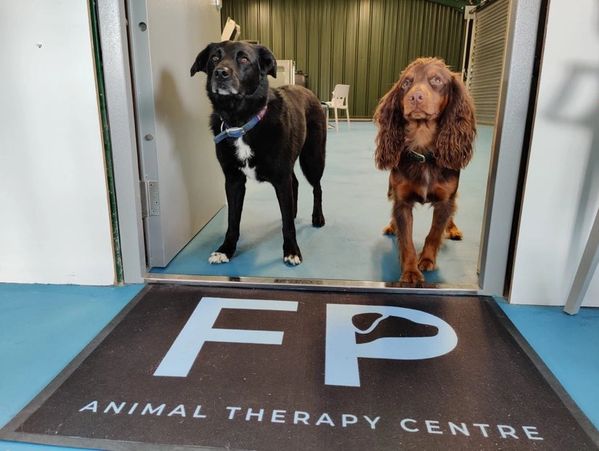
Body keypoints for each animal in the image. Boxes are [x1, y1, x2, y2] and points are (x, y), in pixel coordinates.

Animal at [192, 41, 326, 266]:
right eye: (214, 58)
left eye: (244, 59)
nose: (220, 73)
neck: (240, 122)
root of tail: (305, 89)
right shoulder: (234, 181)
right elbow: (232, 221)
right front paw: (226, 249)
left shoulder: (280, 178)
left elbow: (288, 225)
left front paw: (292, 250)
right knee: (295, 183)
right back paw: (295, 211)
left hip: (313, 158)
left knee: (317, 188)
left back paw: (317, 218)